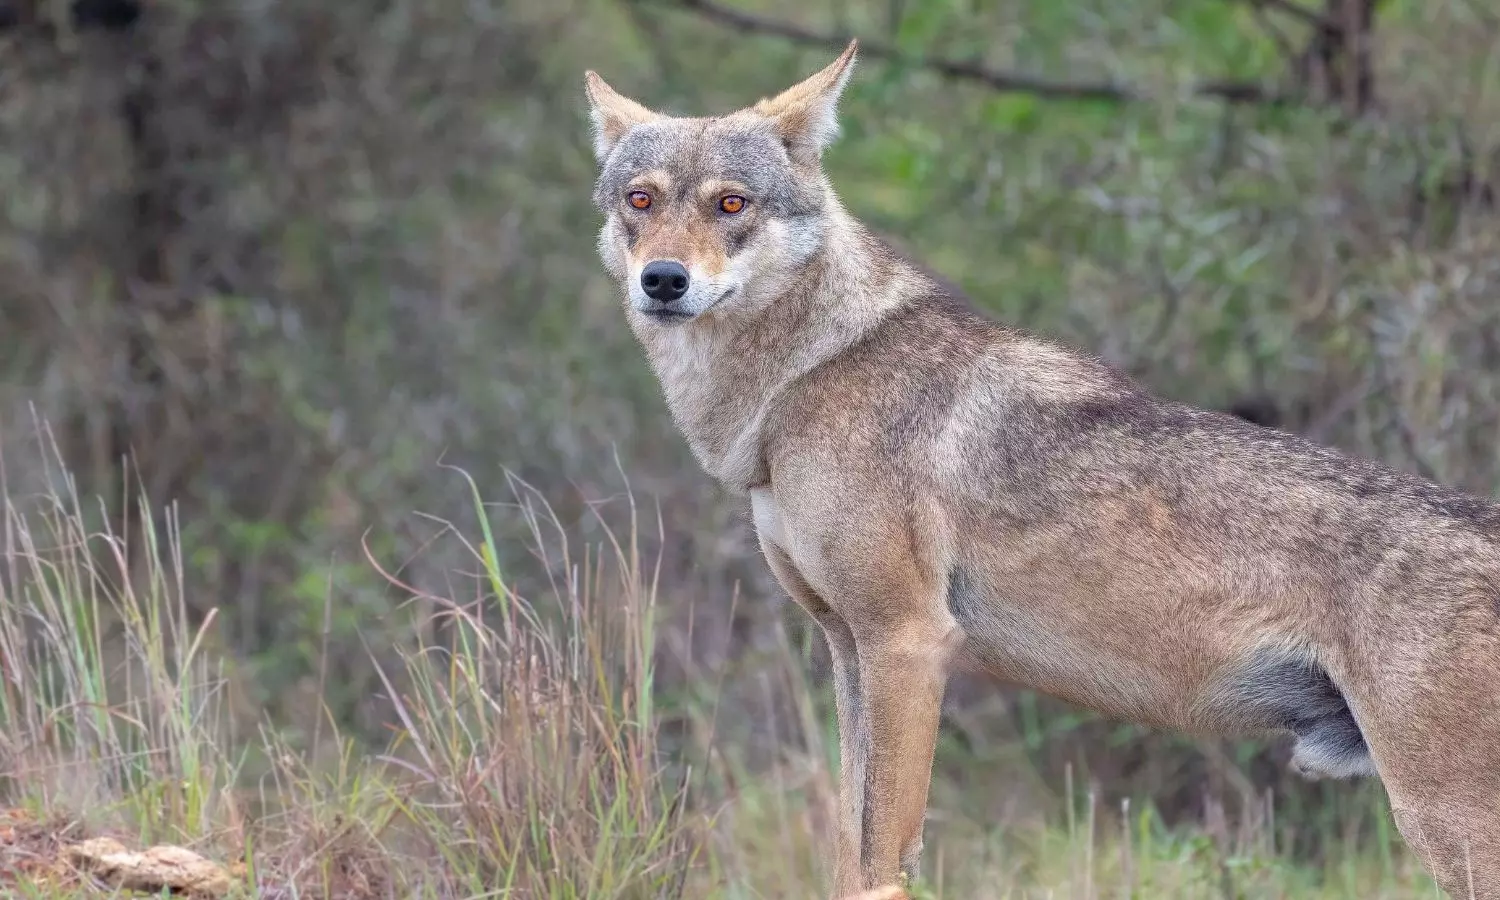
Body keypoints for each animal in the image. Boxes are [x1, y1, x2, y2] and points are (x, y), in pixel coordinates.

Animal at [585, 41, 1500, 899]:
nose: (662, 281)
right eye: (642, 201)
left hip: (1442, 822)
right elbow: (850, 854)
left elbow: (884, 859)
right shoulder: (848, 649)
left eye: (730, 204)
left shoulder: (908, 643)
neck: (800, 380)